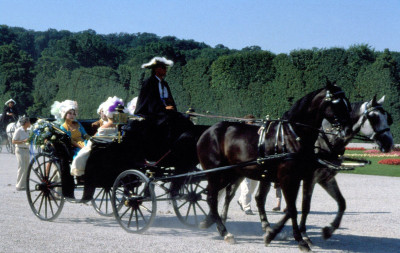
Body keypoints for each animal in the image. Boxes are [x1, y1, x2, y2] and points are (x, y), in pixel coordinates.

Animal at [196, 83, 350, 251]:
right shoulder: (289, 178)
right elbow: (293, 210)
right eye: (337, 103)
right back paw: (224, 232)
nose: (346, 131)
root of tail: (208, 131)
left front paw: (275, 234)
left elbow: (295, 208)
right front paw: (299, 240)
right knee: (212, 198)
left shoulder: (298, 178)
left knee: (222, 196)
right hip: (216, 174)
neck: (292, 135)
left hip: (231, 174)